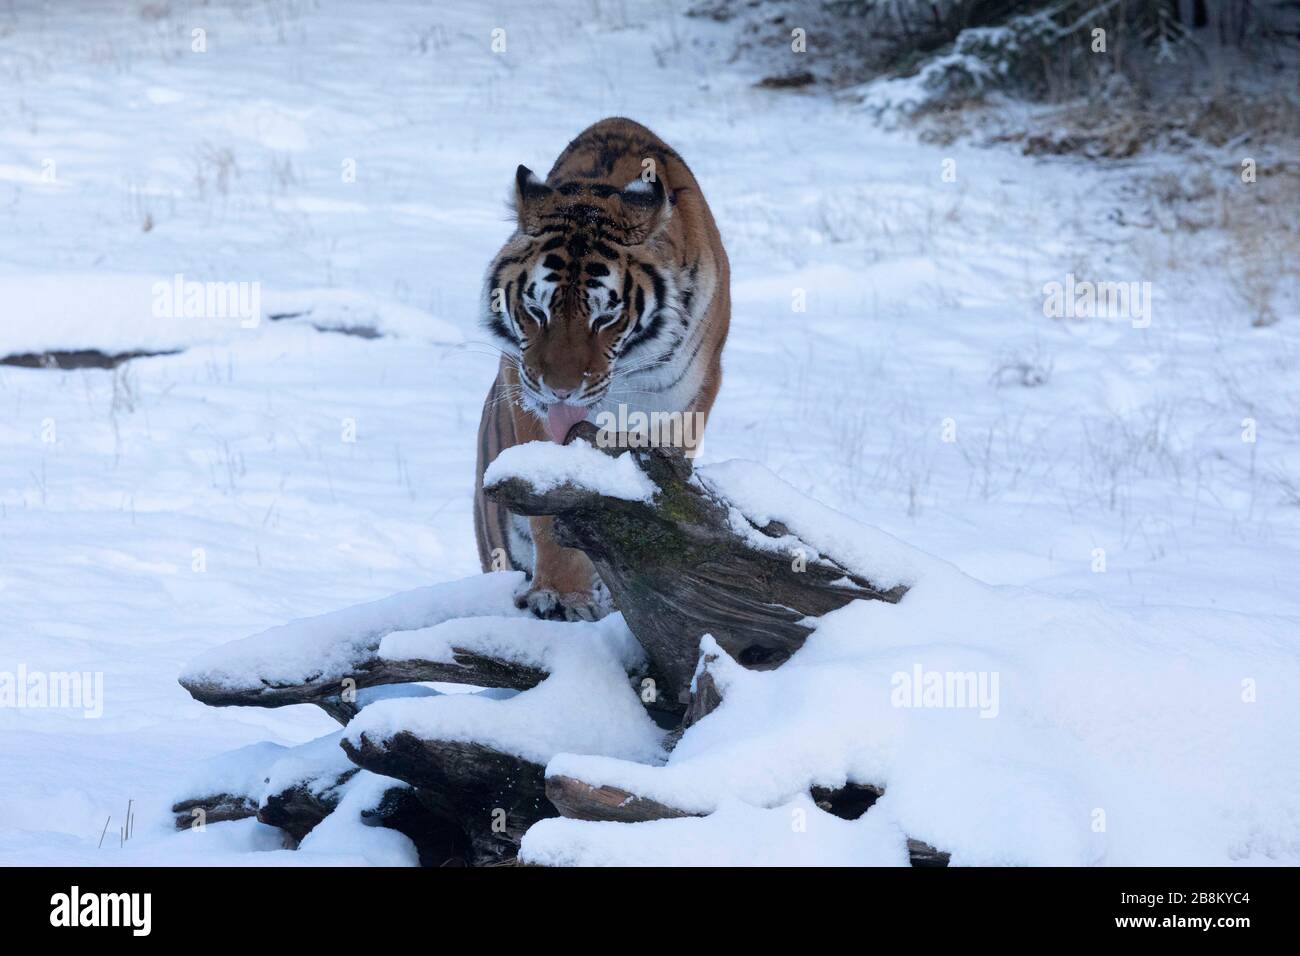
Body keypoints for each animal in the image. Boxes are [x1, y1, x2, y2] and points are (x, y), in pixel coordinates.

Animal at [473, 115, 733, 624]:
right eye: (537, 310)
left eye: (605, 316)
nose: (560, 391)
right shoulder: (525, 391)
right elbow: (553, 509)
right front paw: (561, 594)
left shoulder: (682, 404)